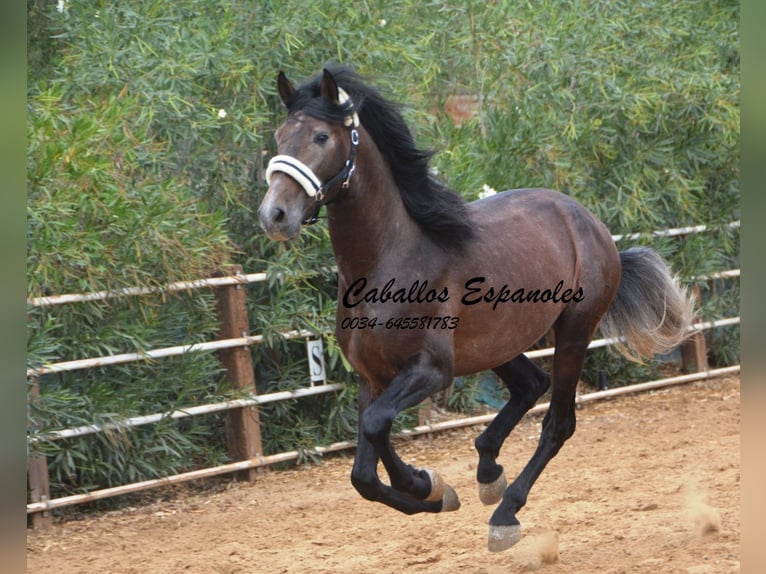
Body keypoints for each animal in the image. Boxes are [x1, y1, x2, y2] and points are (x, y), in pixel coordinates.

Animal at [260, 65, 696, 556]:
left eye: (320, 136)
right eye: (279, 136)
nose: (274, 215)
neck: (390, 260)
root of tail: (589, 222)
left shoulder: (433, 370)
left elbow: (375, 427)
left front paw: (424, 483)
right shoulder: (373, 377)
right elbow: (364, 471)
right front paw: (432, 490)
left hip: (574, 332)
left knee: (558, 422)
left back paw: (505, 513)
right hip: (498, 342)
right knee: (531, 383)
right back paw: (488, 472)